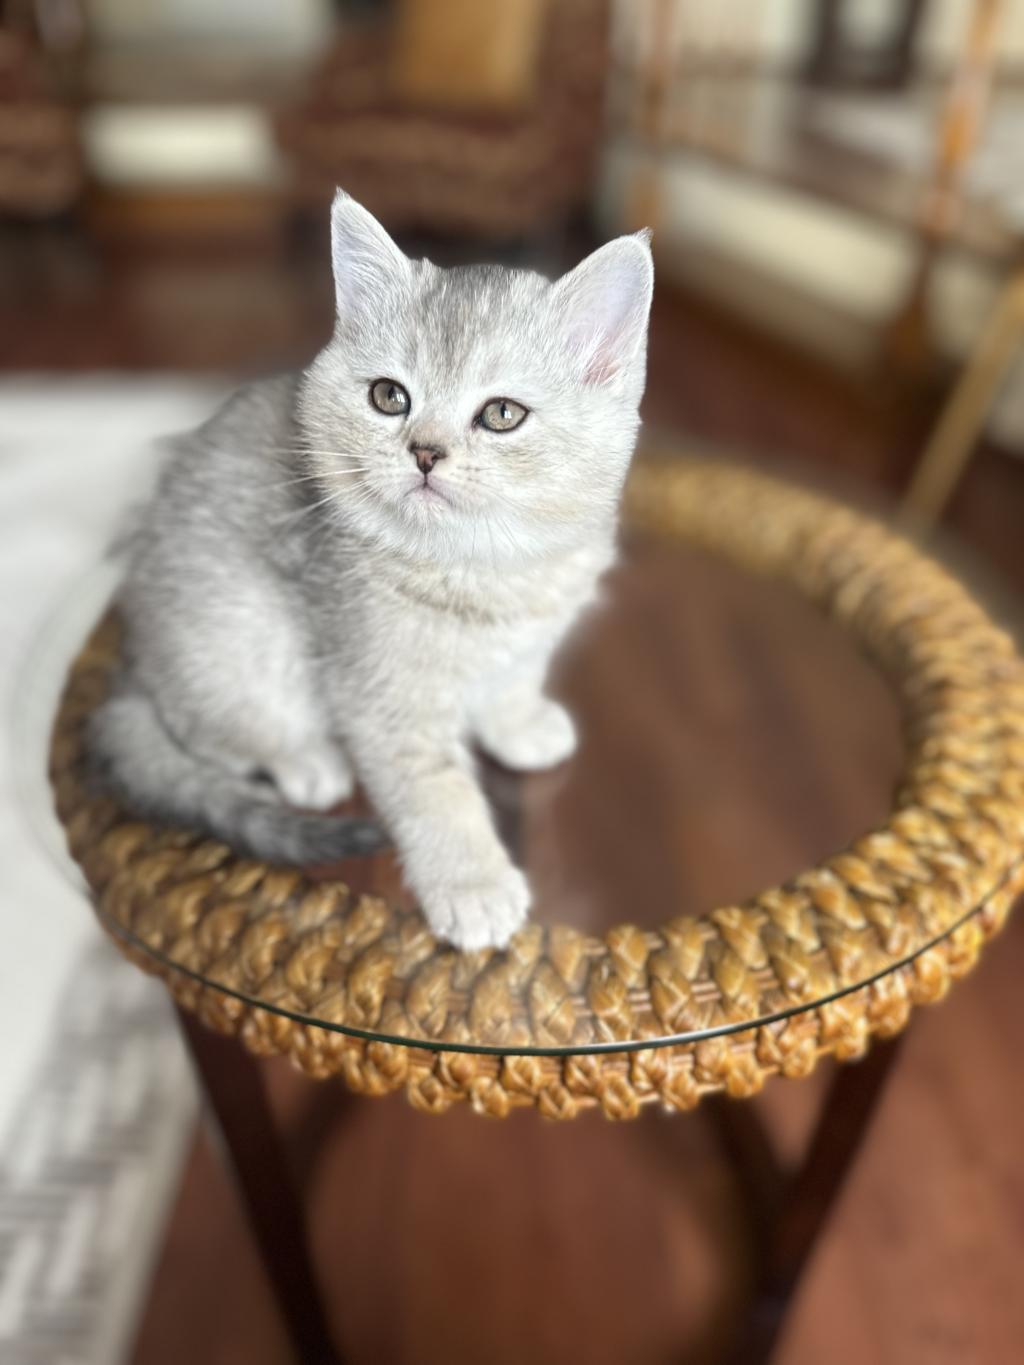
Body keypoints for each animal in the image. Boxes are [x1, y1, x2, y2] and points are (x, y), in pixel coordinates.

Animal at [88, 189, 653, 950]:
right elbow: (435, 792)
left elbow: (514, 678)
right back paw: (306, 761)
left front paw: (518, 723)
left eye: (502, 414)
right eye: (390, 397)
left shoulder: (534, 635)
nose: (425, 452)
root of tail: (132, 661)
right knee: (214, 733)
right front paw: (471, 883)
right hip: (238, 636)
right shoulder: (384, 699)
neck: (487, 570)